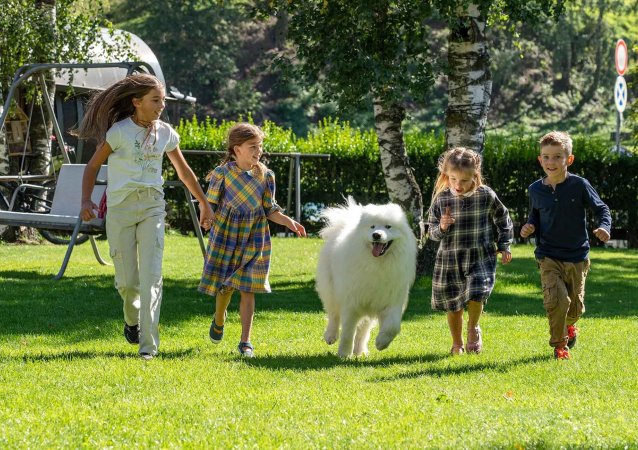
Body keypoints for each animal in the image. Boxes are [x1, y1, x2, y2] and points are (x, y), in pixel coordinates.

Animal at [316, 197, 420, 358]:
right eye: (372, 227)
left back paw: (360, 351)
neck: (377, 265)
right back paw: (331, 336)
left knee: (363, 330)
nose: (376, 235)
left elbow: (393, 326)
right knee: (333, 315)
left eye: (388, 227)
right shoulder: (352, 303)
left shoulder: (391, 300)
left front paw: (381, 343)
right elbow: (347, 332)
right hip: (331, 290)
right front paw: (344, 354)